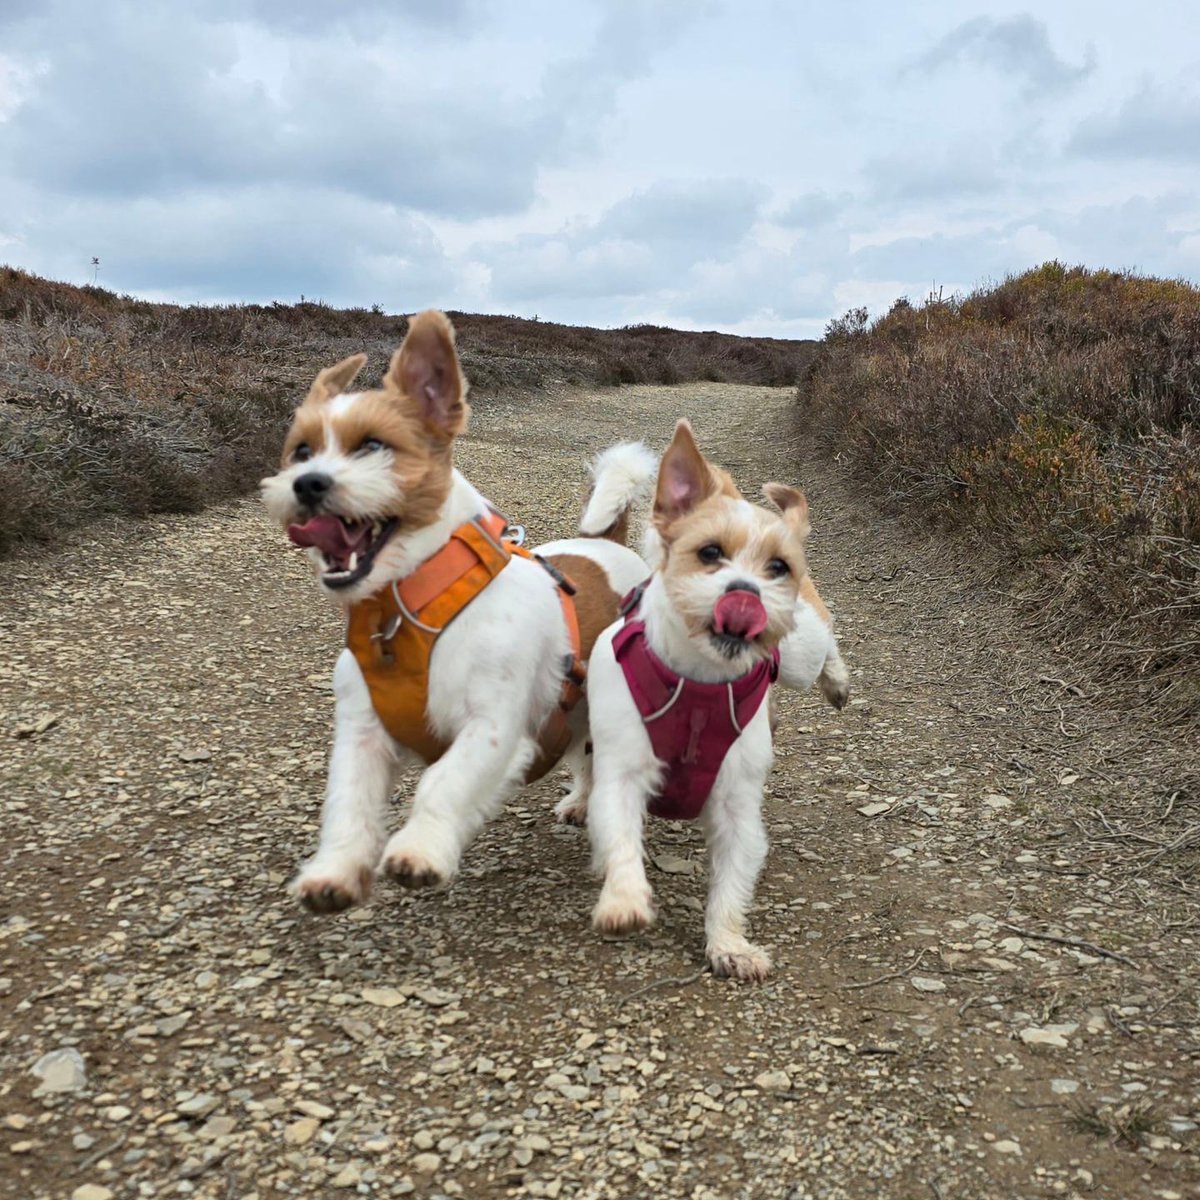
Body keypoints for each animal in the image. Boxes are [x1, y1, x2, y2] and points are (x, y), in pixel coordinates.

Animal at [264, 314, 657, 912]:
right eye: (301, 451)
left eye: (373, 446)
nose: (307, 484)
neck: (410, 610)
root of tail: (605, 541)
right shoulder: (362, 733)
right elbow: (348, 804)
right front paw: (335, 870)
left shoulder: (493, 727)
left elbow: (442, 783)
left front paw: (420, 848)